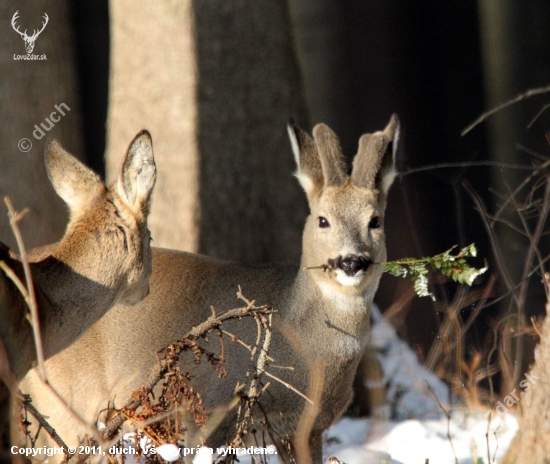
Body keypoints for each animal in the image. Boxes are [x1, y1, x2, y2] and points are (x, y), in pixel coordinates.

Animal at [21, 115, 402, 460]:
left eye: (375, 221)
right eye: (323, 220)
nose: (351, 261)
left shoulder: (304, 431)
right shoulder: (209, 414)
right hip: (68, 404)